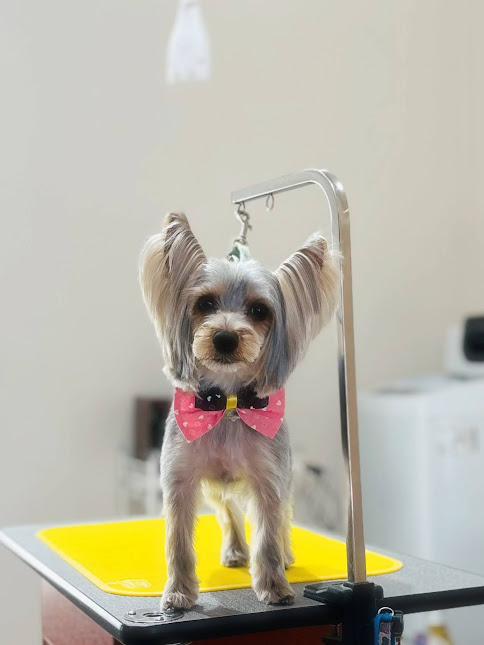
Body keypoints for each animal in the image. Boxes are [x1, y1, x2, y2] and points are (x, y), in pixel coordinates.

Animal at [139, 212, 339, 610]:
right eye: (204, 303)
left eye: (259, 310)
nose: (225, 337)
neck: (229, 404)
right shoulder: (180, 480)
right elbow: (178, 542)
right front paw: (178, 592)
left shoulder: (269, 479)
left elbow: (269, 535)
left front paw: (275, 586)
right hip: (219, 489)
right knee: (229, 512)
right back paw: (233, 550)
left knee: (282, 521)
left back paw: (287, 555)